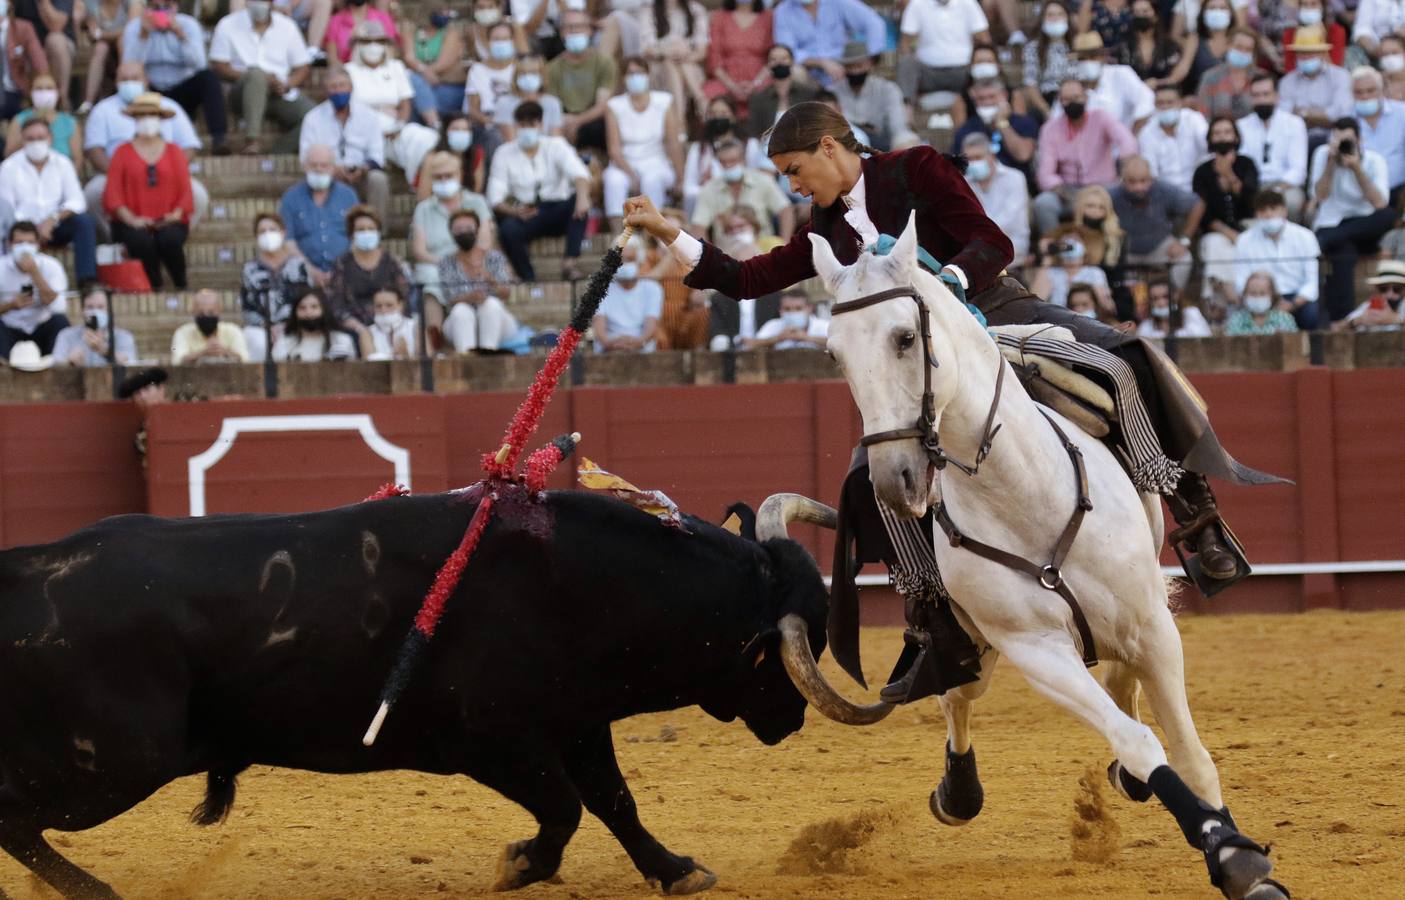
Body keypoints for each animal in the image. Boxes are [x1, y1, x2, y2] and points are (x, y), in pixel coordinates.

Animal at [0, 488, 826, 892]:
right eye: (778, 658)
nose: (792, 718)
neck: (583, 582)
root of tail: (26, 568)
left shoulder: (578, 725)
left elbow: (615, 803)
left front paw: (677, 871)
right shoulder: (492, 742)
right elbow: (564, 810)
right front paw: (519, 866)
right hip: (118, 761)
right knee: (16, 819)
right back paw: (96, 893)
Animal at [764, 217, 1286, 898]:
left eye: (905, 337)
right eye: (834, 355)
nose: (895, 483)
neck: (1022, 493)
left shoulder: (1152, 627)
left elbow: (1190, 753)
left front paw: (1238, 858)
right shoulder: (1034, 649)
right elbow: (1138, 741)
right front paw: (1231, 854)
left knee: (1117, 673)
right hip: (976, 638)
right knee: (961, 694)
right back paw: (960, 792)